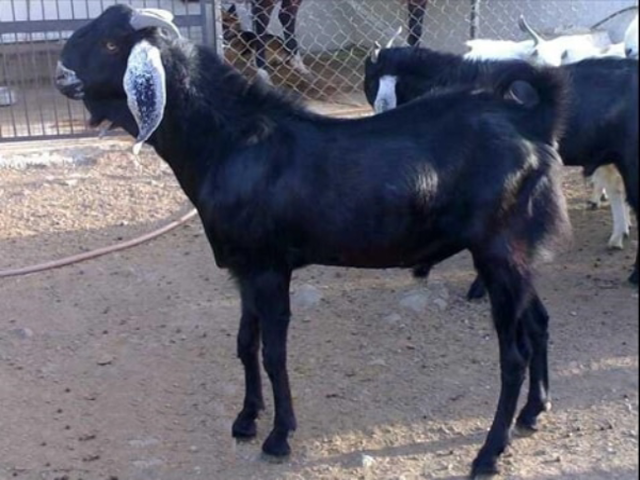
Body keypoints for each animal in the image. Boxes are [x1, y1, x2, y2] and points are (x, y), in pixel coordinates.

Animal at [56, 5, 571, 477]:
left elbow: (274, 352)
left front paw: (279, 436)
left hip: (499, 250)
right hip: (517, 255)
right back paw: (533, 411)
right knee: (539, 322)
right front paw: (246, 419)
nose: (61, 76)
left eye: (110, 44)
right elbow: (245, 342)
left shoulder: (269, 266)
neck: (231, 143)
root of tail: (535, 123)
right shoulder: (244, 267)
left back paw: (489, 453)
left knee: (514, 354)